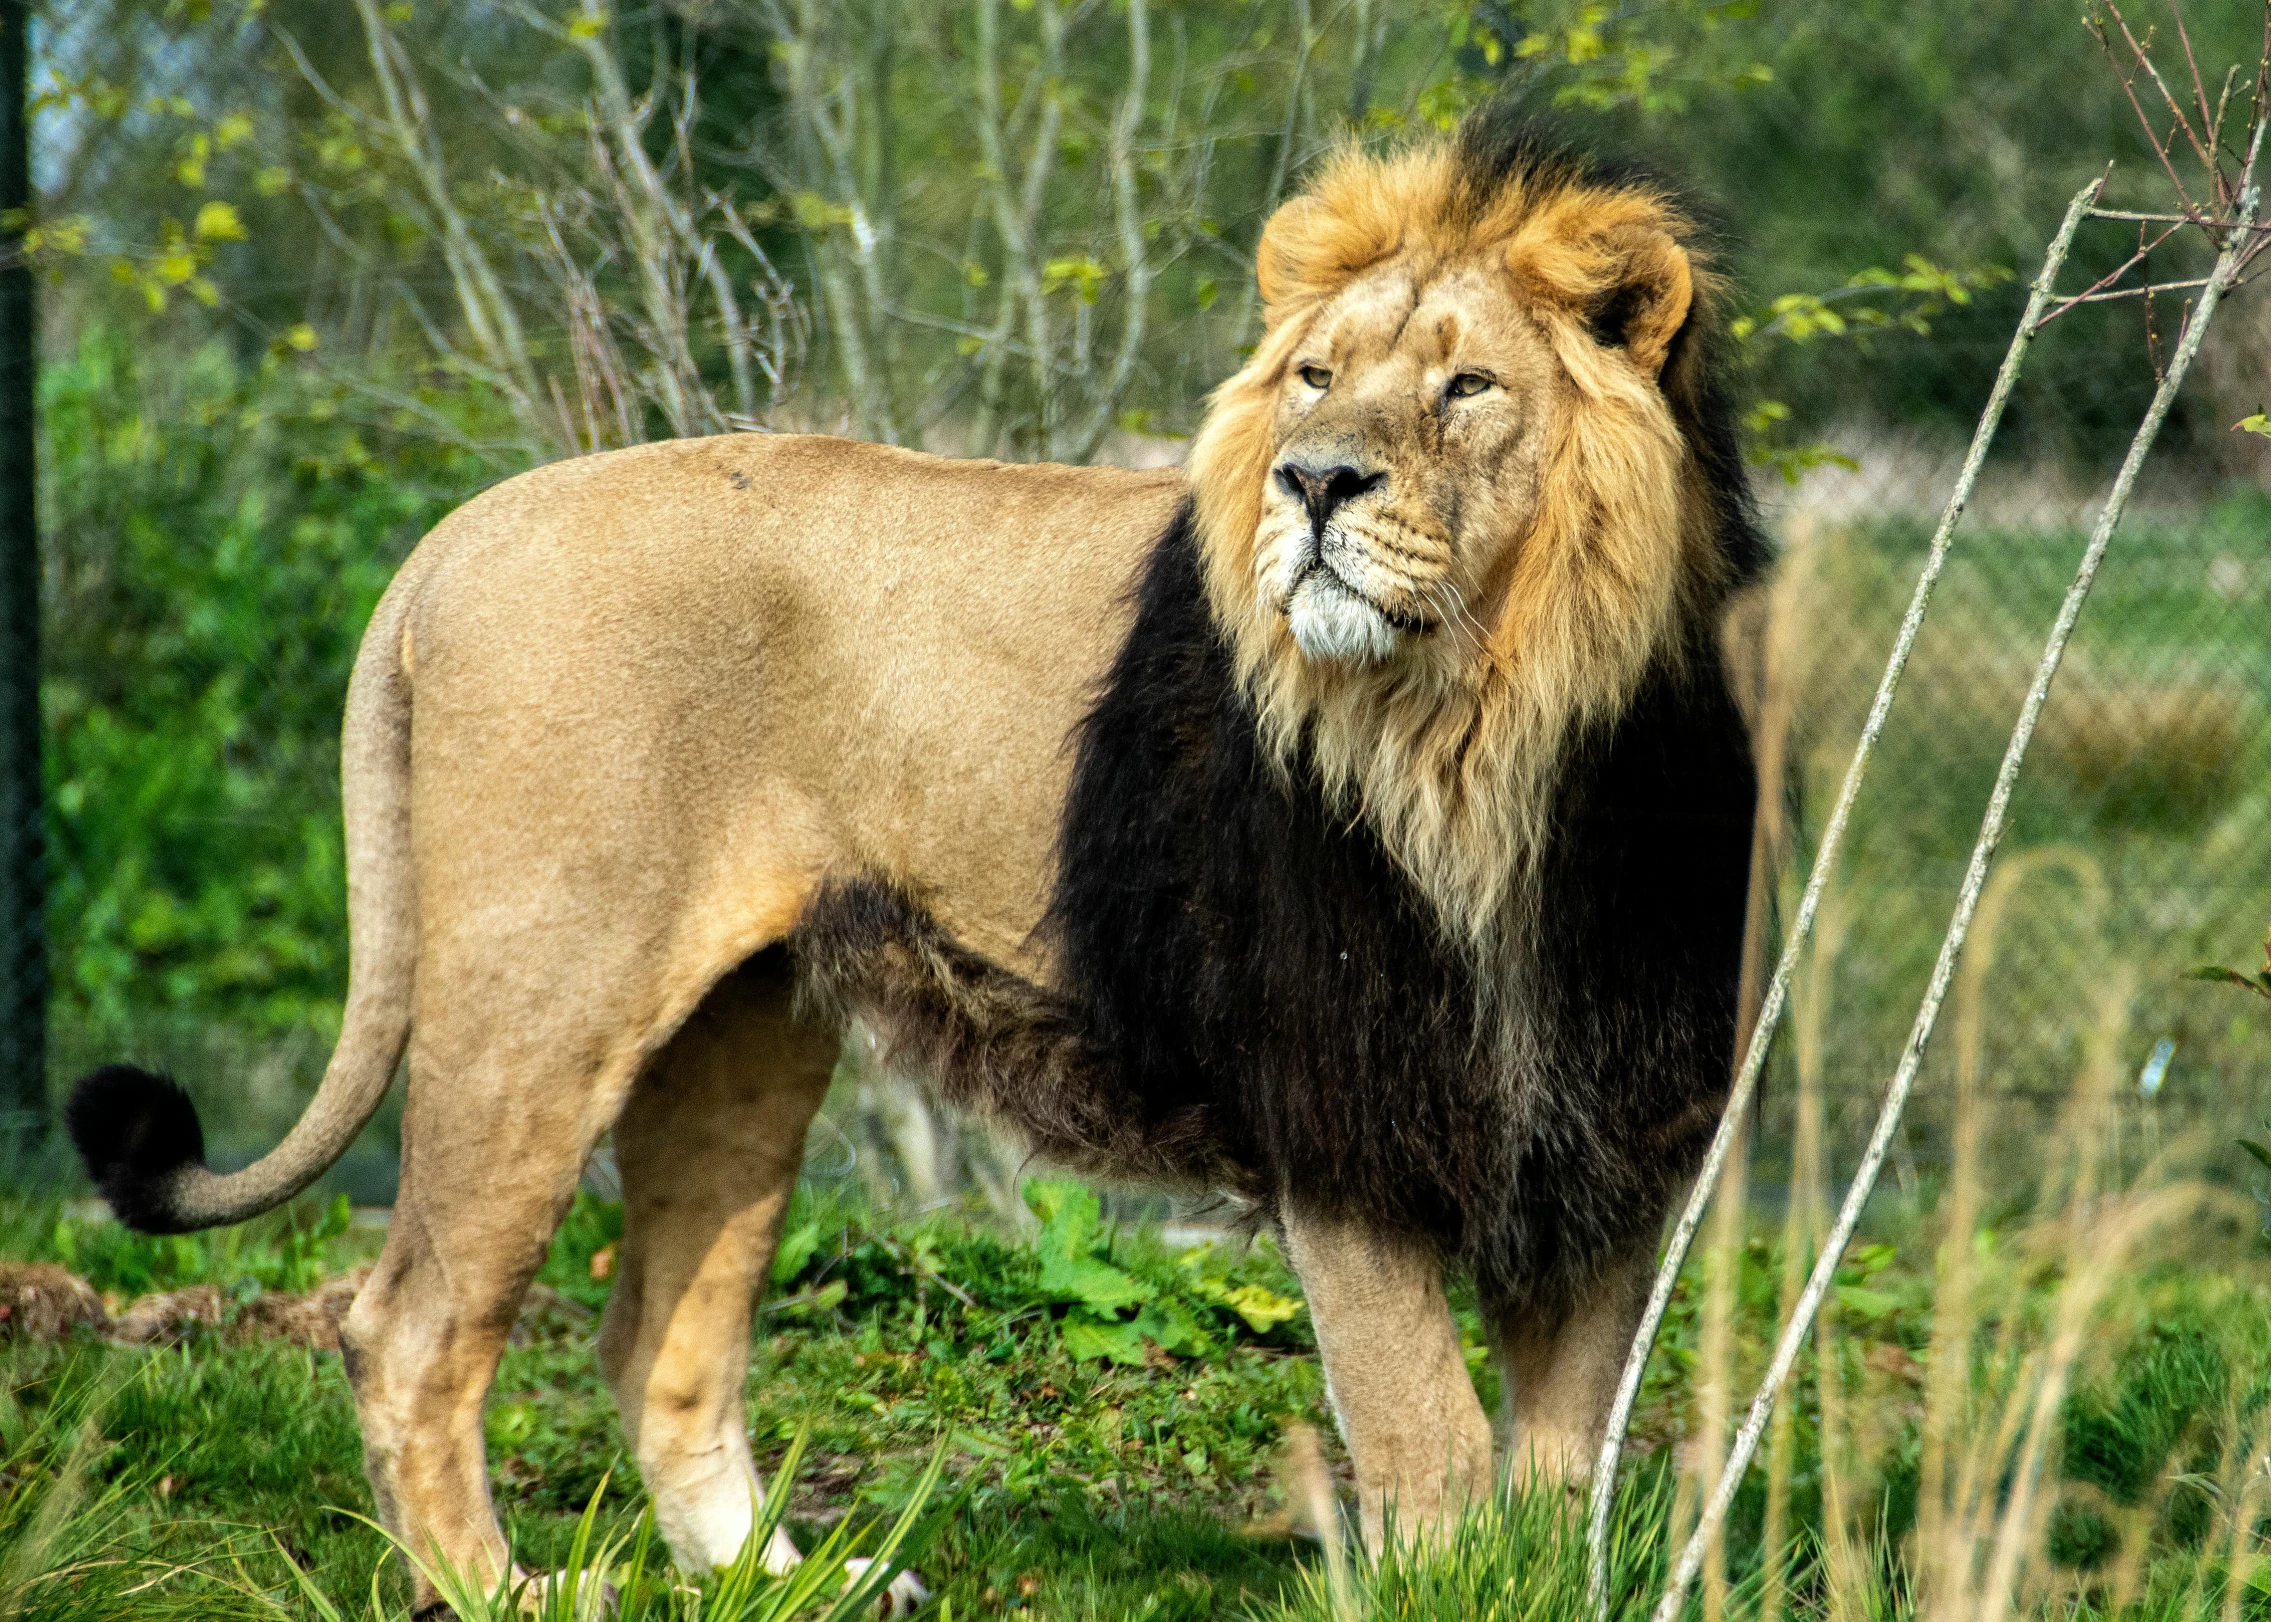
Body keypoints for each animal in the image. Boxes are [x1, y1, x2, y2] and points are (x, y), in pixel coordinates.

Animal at [70, 110, 1762, 1608]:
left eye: (1467, 385)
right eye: (1313, 380)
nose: (1314, 480)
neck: (1495, 732)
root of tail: (460, 529)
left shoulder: (1607, 1129)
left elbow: (1562, 1461)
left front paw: (1548, 1575)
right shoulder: (1336, 1111)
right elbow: (1431, 1444)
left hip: (742, 1034)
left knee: (658, 1341)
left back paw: (787, 1581)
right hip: (539, 995)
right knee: (409, 1321)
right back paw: (503, 1591)